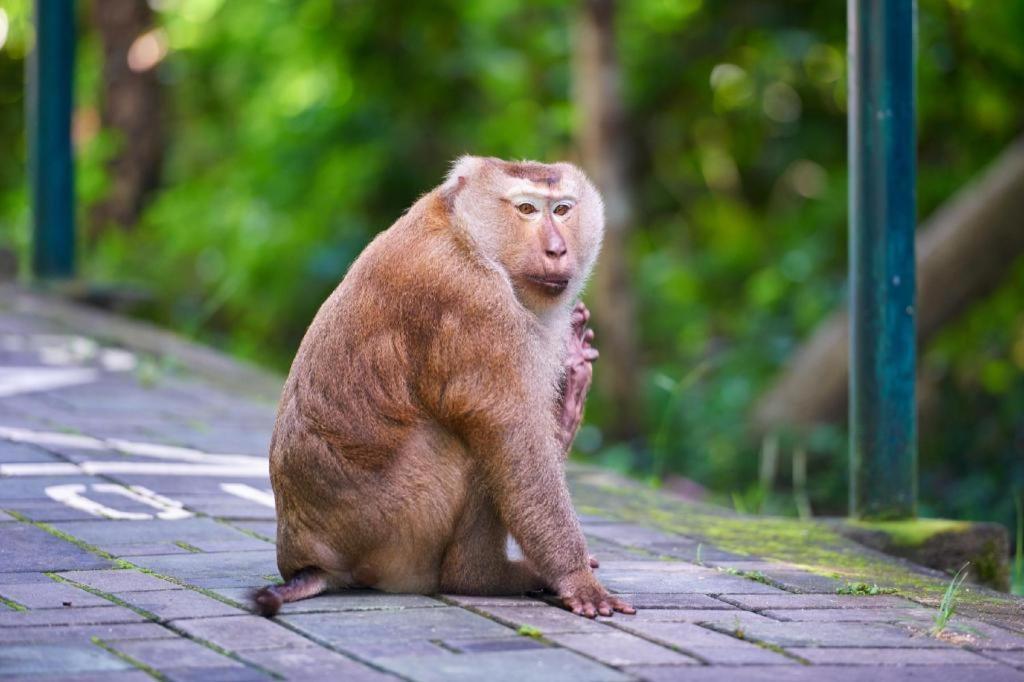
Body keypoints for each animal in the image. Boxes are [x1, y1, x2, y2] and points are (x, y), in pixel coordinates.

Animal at [251, 153, 630, 614]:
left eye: (561, 210)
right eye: (526, 209)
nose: (557, 249)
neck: (467, 231)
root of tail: (306, 559)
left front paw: (573, 389)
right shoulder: (473, 300)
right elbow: (513, 434)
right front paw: (576, 579)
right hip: (397, 527)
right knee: (476, 442)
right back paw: (480, 576)